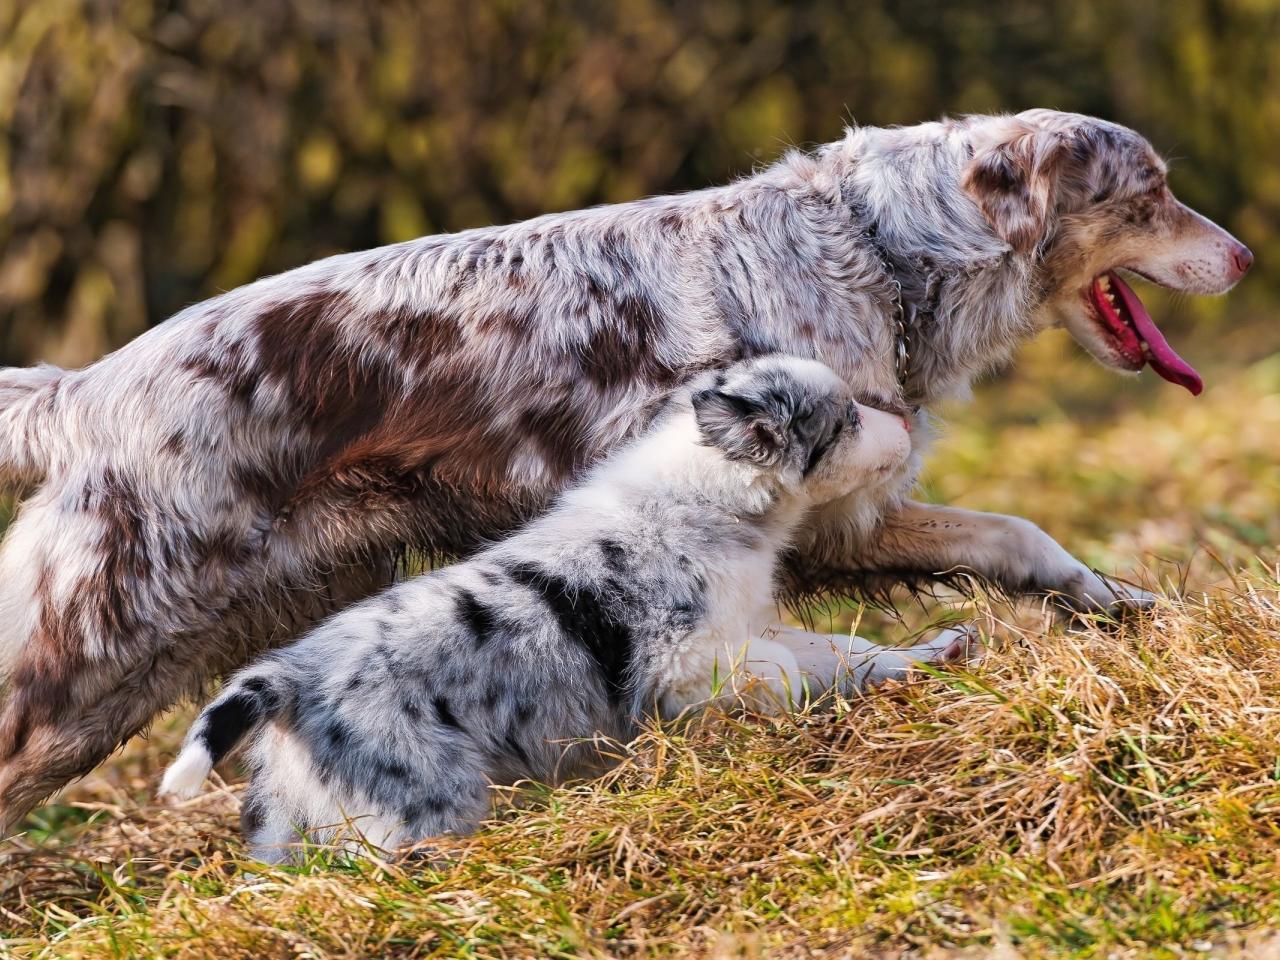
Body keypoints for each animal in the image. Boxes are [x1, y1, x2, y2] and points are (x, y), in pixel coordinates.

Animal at [160, 355, 967, 865]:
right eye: (847, 421)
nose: (905, 424)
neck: (709, 496)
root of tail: (286, 676)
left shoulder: (750, 625)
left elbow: (841, 652)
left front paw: (937, 653)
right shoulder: (685, 662)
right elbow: (779, 672)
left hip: (286, 823)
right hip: (418, 806)